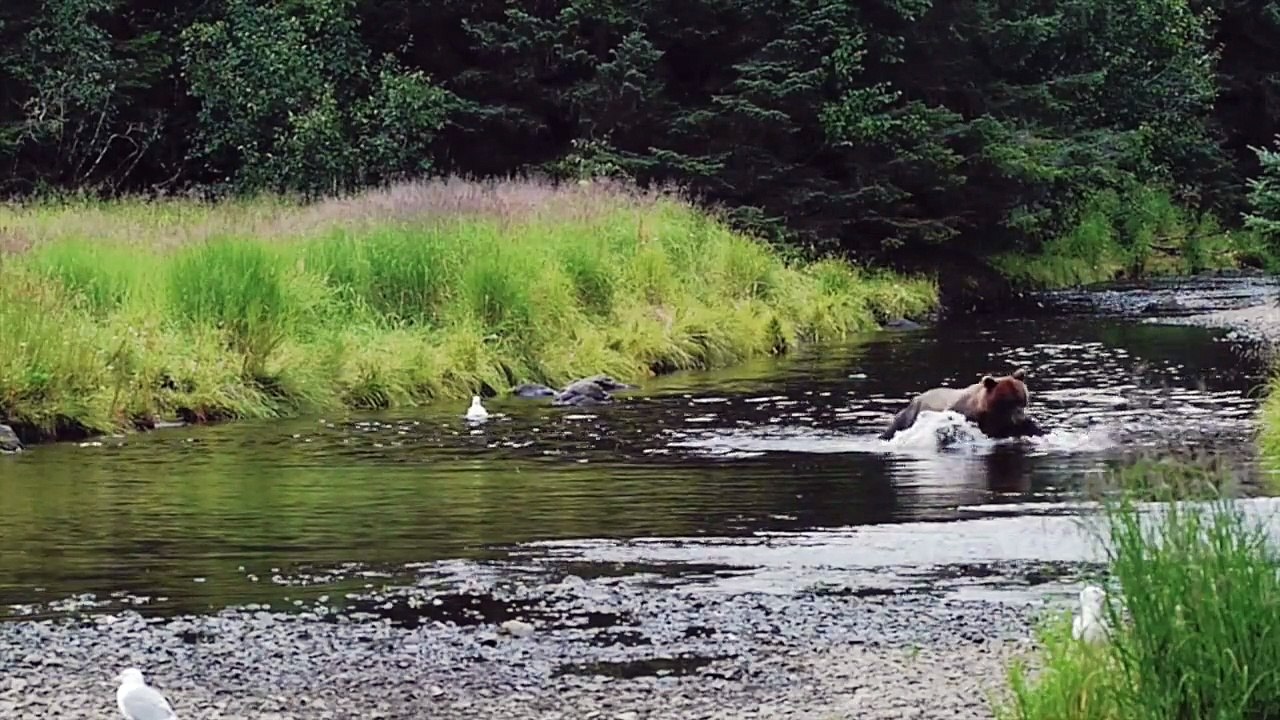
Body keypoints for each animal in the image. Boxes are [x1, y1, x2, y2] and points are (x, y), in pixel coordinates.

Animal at [878, 368, 1046, 441]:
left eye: (1023, 401)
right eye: (1009, 402)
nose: (1021, 418)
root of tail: (915, 399)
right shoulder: (967, 415)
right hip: (910, 415)